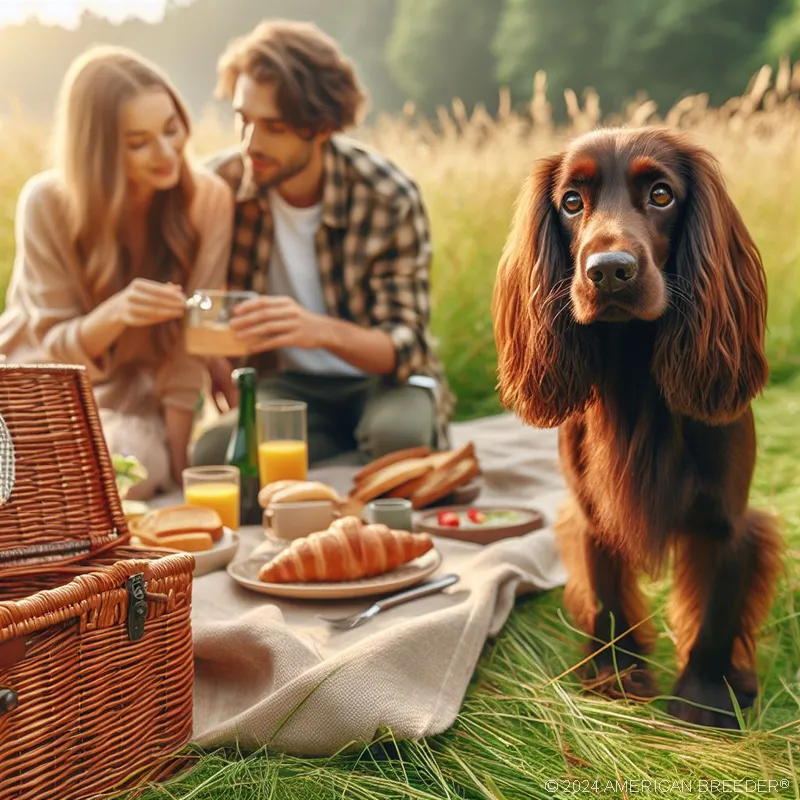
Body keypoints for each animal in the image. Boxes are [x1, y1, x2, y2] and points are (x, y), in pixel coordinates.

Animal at [494, 126, 780, 732]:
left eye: (661, 195)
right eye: (571, 202)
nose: (609, 270)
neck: (634, 374)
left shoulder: (726, 521)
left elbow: (716, 615)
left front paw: (703, 702)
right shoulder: (593, 514)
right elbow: (608, 599)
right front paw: (616, 680)